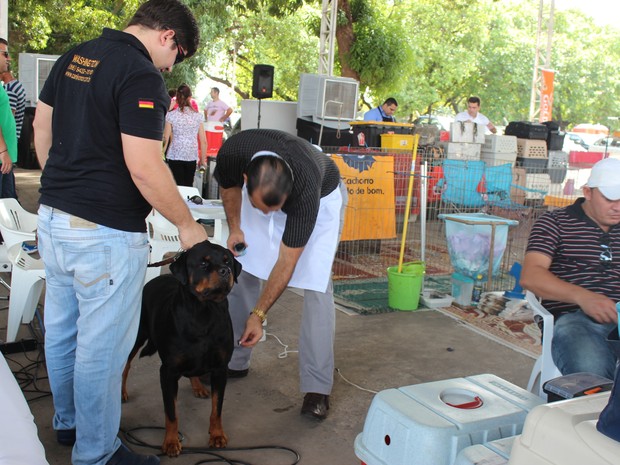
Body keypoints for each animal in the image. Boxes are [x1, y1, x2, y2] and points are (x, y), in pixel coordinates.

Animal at [120, 241, 240, 454]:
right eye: (203, 263)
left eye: (228, 261)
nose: (226, 271)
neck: (204, 313)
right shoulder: (168, 372)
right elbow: (171, 412)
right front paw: (171, 442)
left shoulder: (220, 369)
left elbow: (217, 408)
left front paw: (217, 435)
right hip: (136, 335)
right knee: (125, 365)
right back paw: (122, 392)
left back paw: (198, 386)